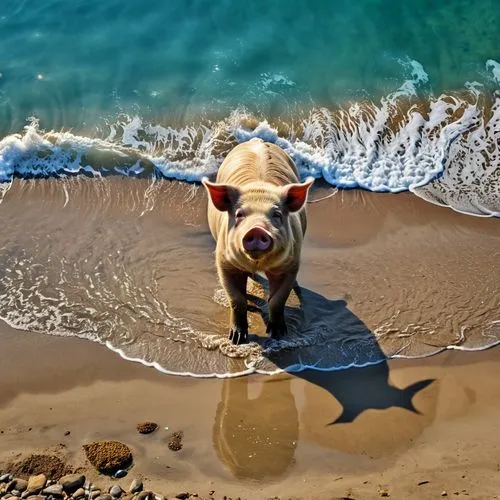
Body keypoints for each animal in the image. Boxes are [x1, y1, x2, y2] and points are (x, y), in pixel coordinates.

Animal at [202, 139, 312, 346]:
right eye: (239, 215)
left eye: (277, 214)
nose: (257, 229)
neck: (258, 263)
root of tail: (257, 140)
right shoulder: (223, 262)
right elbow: (237, 299)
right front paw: (236, 339)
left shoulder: (291, 263)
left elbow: (277, 300)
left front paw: (278, 334)